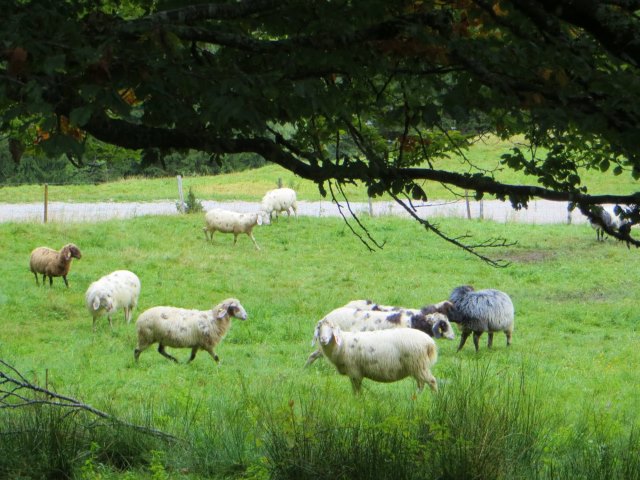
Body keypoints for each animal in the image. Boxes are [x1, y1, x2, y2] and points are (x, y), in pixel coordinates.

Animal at [312, 318, 440, 394]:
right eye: (319, 328)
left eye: (332, 328)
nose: (323, 339)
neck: (342, 343)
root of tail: (430, 342)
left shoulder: (354, 372)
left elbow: (356, 390)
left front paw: (357, 402)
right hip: (417, 367)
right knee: (421, 384)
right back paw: (416, 398)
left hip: (418, 364)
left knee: (432, 381)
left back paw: (435, 397)